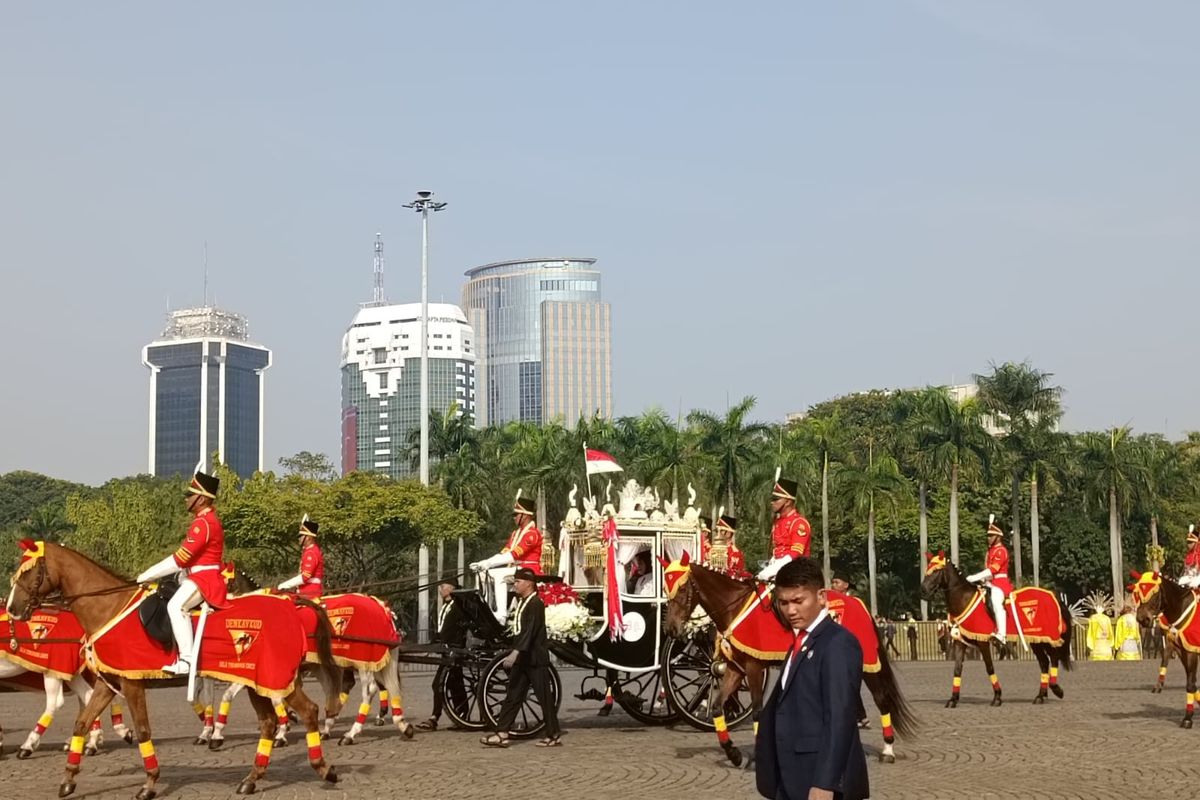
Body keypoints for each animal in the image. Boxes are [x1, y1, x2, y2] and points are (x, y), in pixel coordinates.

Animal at [7, 542, 340, 796]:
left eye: (30, 572)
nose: (12, 609)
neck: (109, 607)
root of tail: (291, 606)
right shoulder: (109, 683)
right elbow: (81, 723)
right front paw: (68, 779)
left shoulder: (132, 684)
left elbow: (143, 730)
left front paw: (150, 783)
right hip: (256, 681)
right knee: (269, 722)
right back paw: (252, 778)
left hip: (274, 677)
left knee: (308, 711)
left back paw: (324, 768)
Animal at [662, 556, 912, 767]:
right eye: (666, 588)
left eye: (682, 588)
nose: (671, 629)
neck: (735, 607)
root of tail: (860, 604)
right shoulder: (734, 668)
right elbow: (716, 707)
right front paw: (732, 753)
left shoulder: (754, 667)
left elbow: (757, 711)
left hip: (868, 666)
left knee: (882, 700)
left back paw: (887, 750)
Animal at [921, 554, 1075, 710]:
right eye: (928, 569)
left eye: (936, 570)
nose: (923, 590)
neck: (964, 598)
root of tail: (1054, 597)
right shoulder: (960, 642)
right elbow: (957, 669)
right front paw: (953, 699)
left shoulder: (983, 642)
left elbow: (989, 667)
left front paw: (997, 697)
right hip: (1036, 640)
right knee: (1044, 662)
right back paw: (1040, 696)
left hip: (1045, 637)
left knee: (1053, 658)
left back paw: (1056, 689)